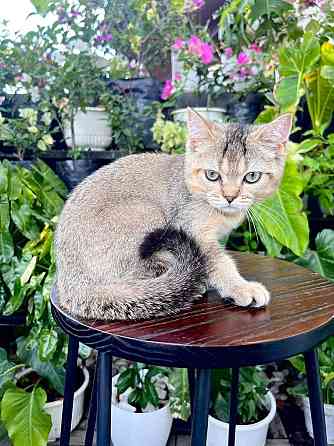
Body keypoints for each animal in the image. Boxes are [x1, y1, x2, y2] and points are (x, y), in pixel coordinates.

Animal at [54, 108, 292, 318]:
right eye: (212, 175)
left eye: (251, 177)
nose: (230, 197)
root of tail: (69, 281)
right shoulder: (193, 230)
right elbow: (217, 261)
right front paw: (240, 287)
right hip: (146, 214)